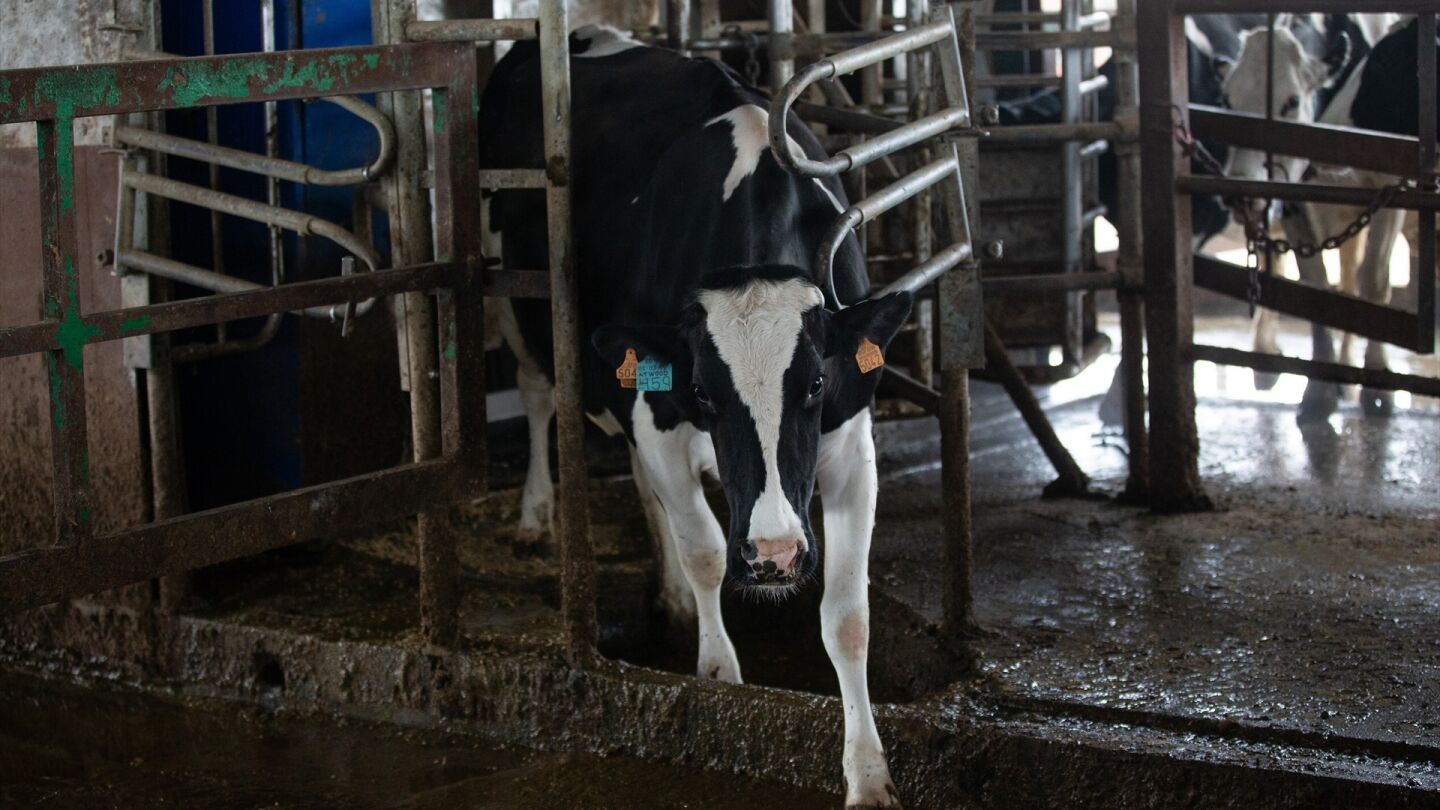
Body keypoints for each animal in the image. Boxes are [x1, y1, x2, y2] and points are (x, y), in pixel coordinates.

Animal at [478, 25, 913, 807]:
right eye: (707, 392)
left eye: (814, 383)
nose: (774, 555)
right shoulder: (660, 410)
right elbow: (708, 550)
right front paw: (720, 680)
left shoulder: (850, 439)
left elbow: (848, 618)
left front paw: (868, 775)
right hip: (518, 300)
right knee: (535, 395)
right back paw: (535, 515)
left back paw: (671, 593)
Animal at [1218, 14, 1408, 419]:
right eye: (1227, 100)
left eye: (1291, 100)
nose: (1239, 190)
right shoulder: (1293, 197)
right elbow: (1314, 287)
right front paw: (1319, 392)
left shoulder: (1391, 186)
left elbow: (1375, 282)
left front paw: (1377, 385)